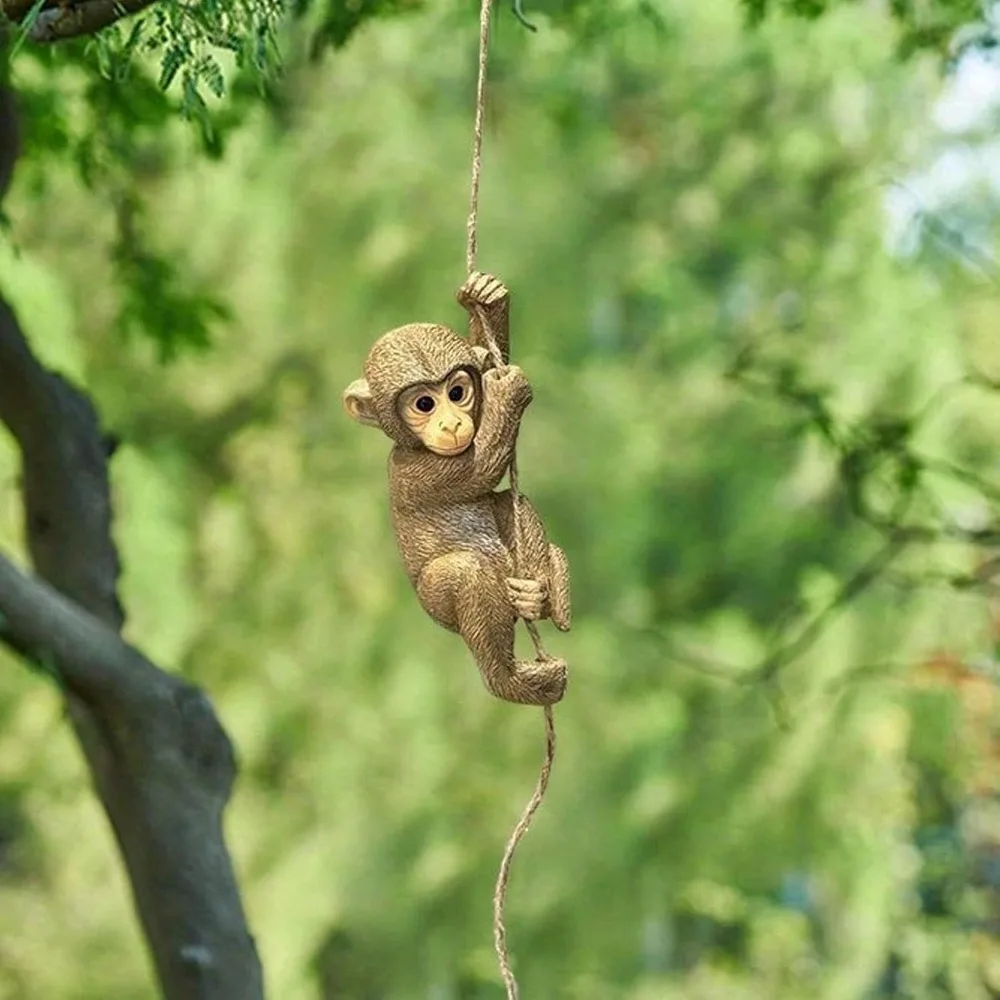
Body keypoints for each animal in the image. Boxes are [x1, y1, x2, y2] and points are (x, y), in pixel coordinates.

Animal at [343, 272, 570, 707]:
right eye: (424, 404)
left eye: (457, 393)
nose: (450, 424)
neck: (413, 446)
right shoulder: (416, 474)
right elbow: (480, 466)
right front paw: (507, 391)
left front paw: (487, 298)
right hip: (438, 603)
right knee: (468, 576)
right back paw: (511, 681)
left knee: (509, 504)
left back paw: (540, 596)